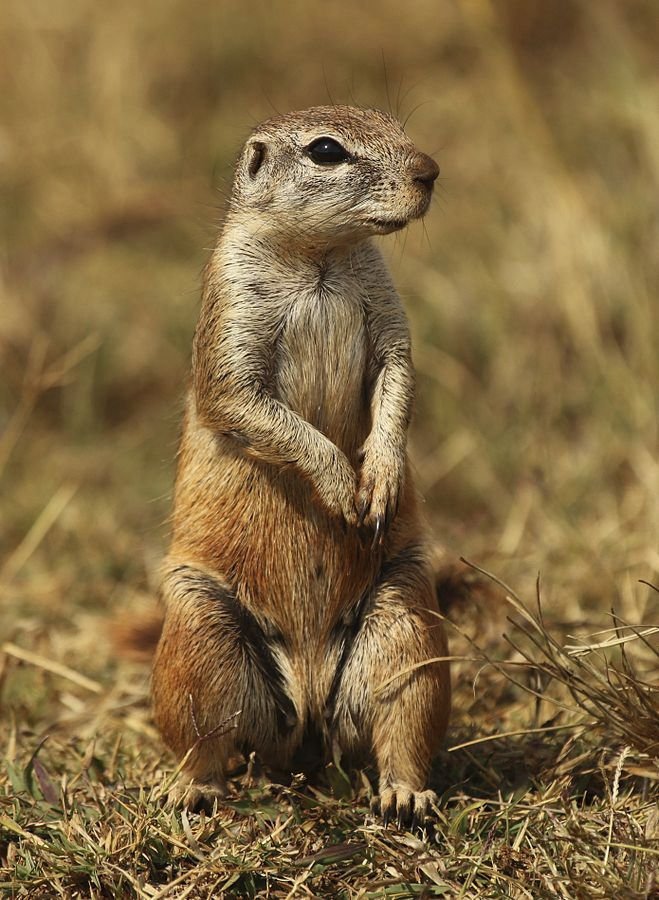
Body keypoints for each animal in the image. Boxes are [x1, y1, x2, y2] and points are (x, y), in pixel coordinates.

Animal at [153, 105, 454, 828]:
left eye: (395, 122)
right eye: (325, 151)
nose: (430, 170)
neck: (320, 258)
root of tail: (310, 717)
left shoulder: (389, 312)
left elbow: (398, 376)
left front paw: (380, 477)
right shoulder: (231, 312)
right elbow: (245, 400)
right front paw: (342, 485)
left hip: (406, 624)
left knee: (403, 724)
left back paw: (405, 795)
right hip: (197, 634)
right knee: (203, 740)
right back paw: (189, 789)